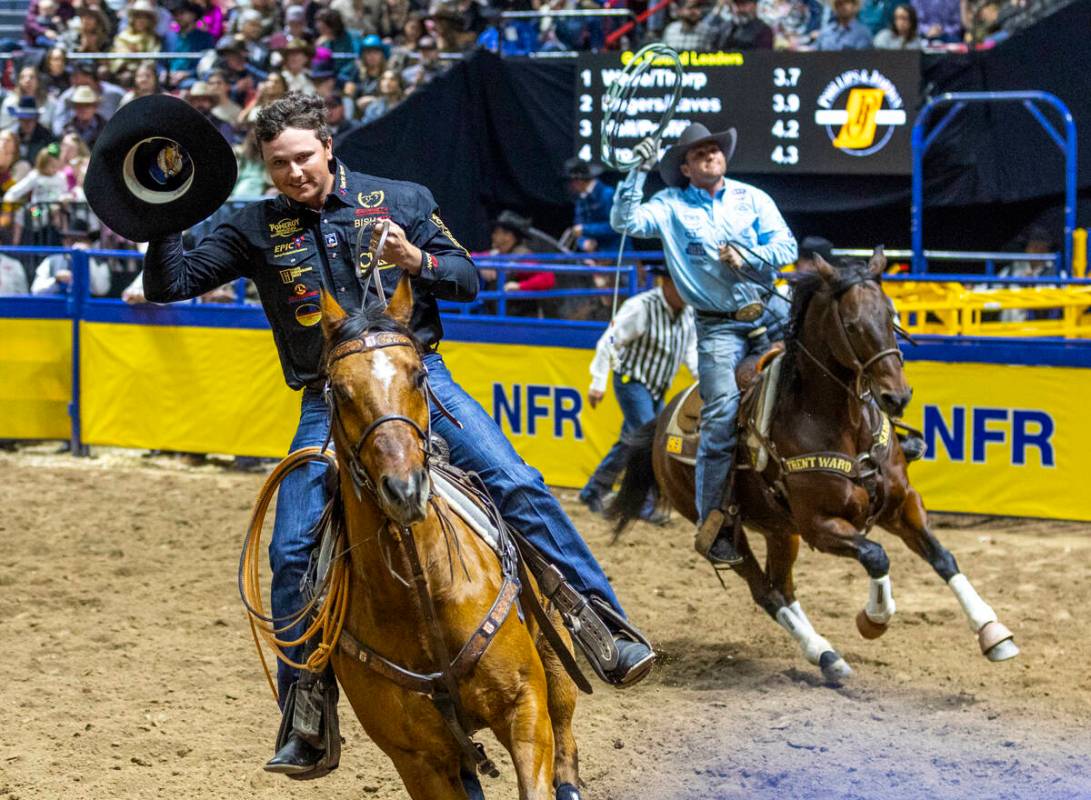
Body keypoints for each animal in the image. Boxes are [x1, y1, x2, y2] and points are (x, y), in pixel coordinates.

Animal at [318, 281, 584, 798]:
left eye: (419, 375)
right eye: (339, 391)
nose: (404, 488)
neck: (422, 596)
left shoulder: (525, 709)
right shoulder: (416, 761)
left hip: (553, 651)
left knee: (565, 725)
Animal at [610, 249, 1016, 681]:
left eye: (891, 314)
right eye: (852, 325)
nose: (897, 396)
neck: (840, 423)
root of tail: (661, 422)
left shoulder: (902, 504)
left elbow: (942, 557)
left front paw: (993, 631)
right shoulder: (821, 526)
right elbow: (877, 556)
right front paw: (874, 618)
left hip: (780, 529)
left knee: (783, 587)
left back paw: (828, 655)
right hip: (730, 529)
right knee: (766, 592)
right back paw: (823, 652)